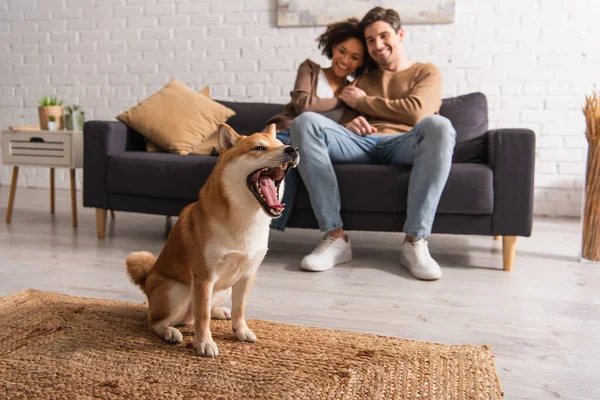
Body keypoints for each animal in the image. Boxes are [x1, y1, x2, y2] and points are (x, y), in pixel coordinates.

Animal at [125, 123, 298, 358]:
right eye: (259, 148)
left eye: (280, 144)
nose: (293, 149)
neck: (247, 219)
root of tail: (147, 280)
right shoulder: (204, 277)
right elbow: (203, 317)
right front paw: (205, 343)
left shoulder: (247, 275)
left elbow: (239, 308)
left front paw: (240, 330)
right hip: (176, 290)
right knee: (156, 321)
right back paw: (169, 331)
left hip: (223, 289)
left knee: (194, 316)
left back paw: (219, 311)